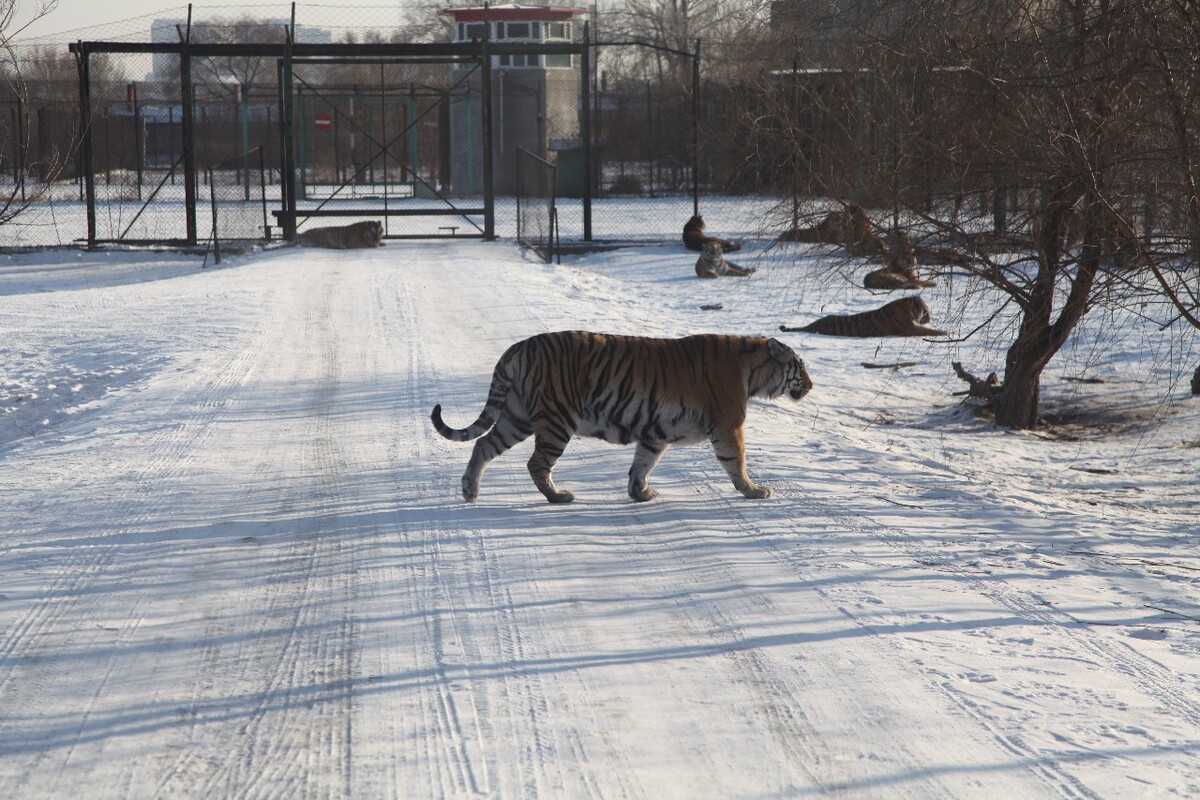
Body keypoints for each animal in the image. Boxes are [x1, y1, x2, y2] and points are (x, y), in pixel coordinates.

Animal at [427, 331, 811, 506]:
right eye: (800, 367)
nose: (810, 384)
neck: (753, 371)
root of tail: (517, 347)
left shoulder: (656, 432)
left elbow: (643, 463)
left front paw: (641, 493)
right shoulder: (729, 425)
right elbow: (737, 461)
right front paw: (754, 490)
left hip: (516, 416)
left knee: (482, 444)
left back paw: (470, 491)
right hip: (557, 419)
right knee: (536, 463)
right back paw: (558, 496)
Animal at [782, 297, 950, 340]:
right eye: (926, 310)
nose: (930, 318)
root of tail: (813, 325)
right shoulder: (909, 328)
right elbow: (928, 330)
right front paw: (945, 332)